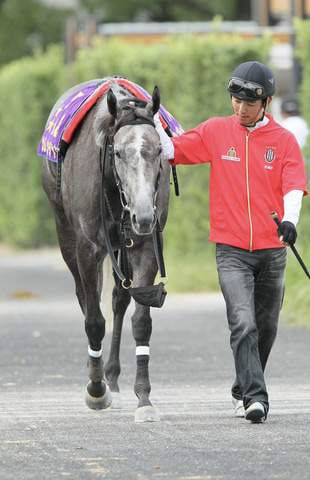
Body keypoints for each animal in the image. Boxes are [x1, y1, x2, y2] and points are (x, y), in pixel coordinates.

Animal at [41, 80, 171, 422]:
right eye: (119, 153)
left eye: (158, 150)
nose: (143, 215)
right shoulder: (88, 247)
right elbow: (94, 320)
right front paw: (96, 389)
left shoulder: (144, 245)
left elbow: (141, 319)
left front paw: (144, 398)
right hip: (65, 230)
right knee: (85, 298)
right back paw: (99, 377)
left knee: (119, 299)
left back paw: (112, 378)